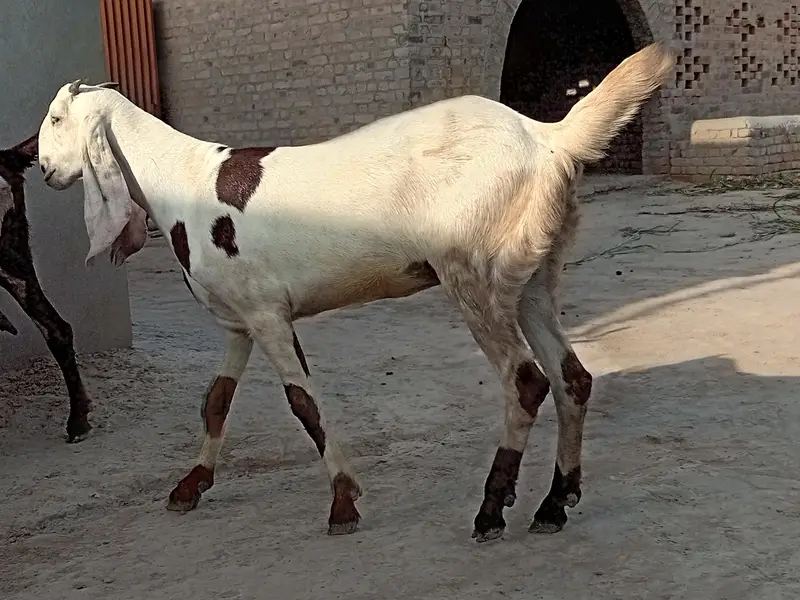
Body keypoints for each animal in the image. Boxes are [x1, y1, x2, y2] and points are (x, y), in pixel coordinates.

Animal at [37, 44, 672, 541]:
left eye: (57, 120)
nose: (42, 170)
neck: (183, 178)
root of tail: (546, 138)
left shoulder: (268, 316)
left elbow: (304, 404)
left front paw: (343, 501)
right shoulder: (242, 319)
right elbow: (216, 400)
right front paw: (190, 486)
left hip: (472, 273)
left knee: (527, 382)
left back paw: (492, 510)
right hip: (530, 275)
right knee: (572, 379)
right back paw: (554, 504)